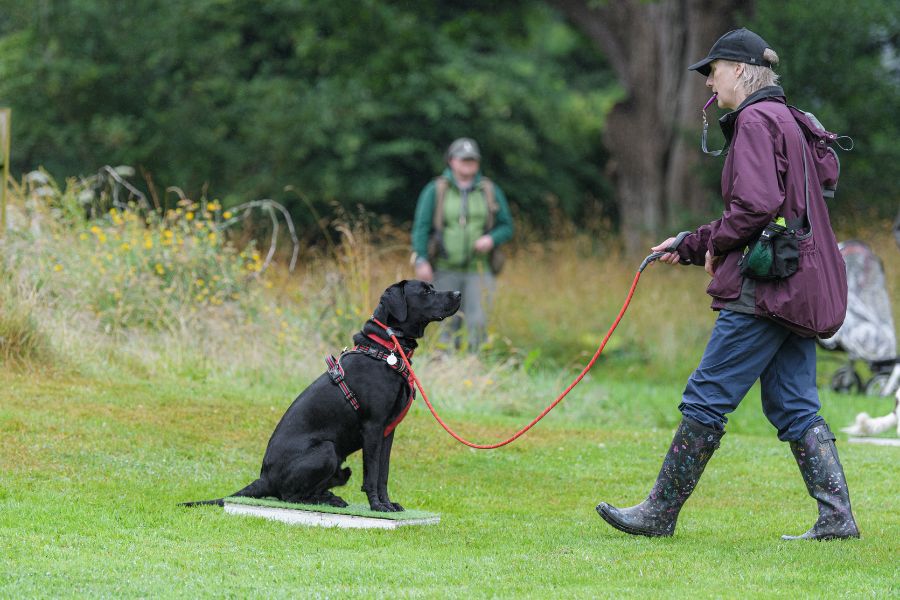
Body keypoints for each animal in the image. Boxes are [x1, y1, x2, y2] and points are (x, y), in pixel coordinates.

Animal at [184, 280, 464, 510]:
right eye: (426, 291)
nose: (459, 294)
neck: (385, 350)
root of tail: (264, 478)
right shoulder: (373, 427)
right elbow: (371, 474)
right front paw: (377, 506)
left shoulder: (388, 431)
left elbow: (383, 474)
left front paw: (388, 503)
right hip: (327, 450)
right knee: (288, 496)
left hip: (340, 465)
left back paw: (330, 498)